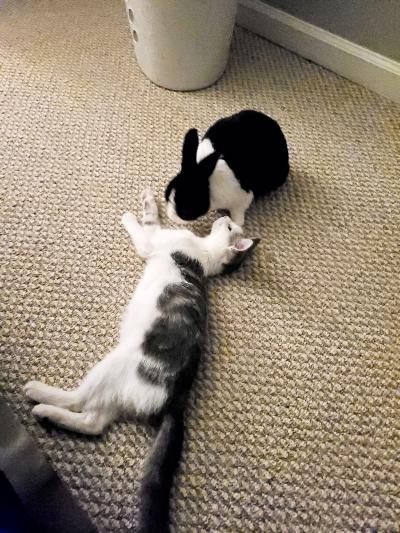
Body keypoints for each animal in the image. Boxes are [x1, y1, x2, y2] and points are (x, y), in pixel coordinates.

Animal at [24, 187, 260, 532]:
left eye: (230, 227)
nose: (224, 218)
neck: (204, 258)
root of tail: (176, 400)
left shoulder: (153, 240)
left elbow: (146, 225)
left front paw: (137, 210)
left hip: (112, 365)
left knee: (79, 401)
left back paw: (38, 395)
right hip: (114, 391)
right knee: (93, 423)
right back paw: (49, 413)